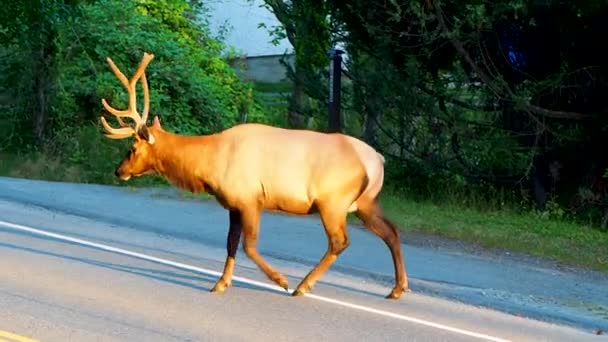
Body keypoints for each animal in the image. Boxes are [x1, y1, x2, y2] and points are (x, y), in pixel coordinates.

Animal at [100, 51, 410, 300]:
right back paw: (397, 288)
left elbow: (248, 245)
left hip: (333, 201)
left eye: (133, 148)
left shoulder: (251, 198)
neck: (209, 164)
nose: (119, 170)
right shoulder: (234, 204)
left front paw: (281, 280)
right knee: (392, 231)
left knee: (340, 241)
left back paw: (302, 286)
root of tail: (378, 160)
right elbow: (230, 243)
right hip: (365, 202)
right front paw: (220, 283)